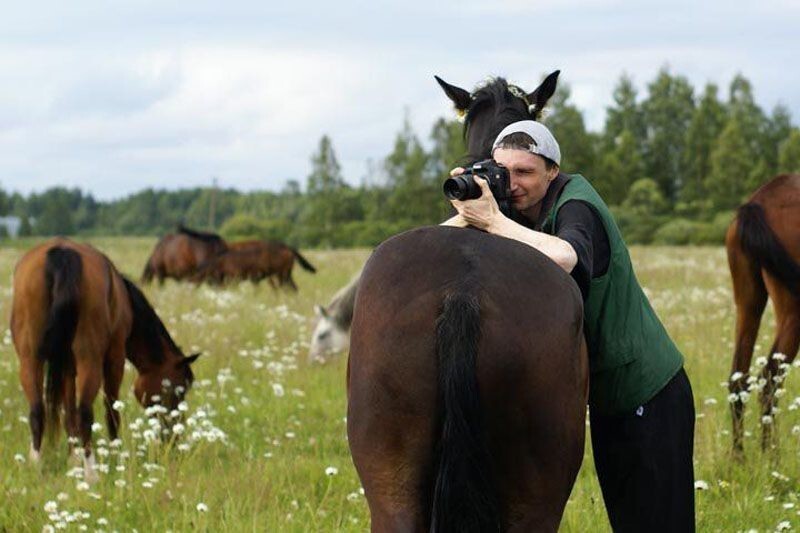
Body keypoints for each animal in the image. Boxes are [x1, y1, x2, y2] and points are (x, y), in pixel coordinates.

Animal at [11, 239, 200, 480]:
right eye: (179, 390)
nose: (174, 438)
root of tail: (62, 253)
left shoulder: (68, 366)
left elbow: (68, 412)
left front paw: (73, 459)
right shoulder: (115, 357)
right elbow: (111, 411)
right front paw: (116, 455)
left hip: (30, 358)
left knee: (37, 411)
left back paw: (36, 467)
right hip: (90, 359)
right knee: (85, 412)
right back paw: (92, 474)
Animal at [724, 174, 800, 454]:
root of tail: (760, 200)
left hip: (748, 302)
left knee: (739, 379)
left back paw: (740, 457)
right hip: (792, 310)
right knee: (769, 382)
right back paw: (771, 457)